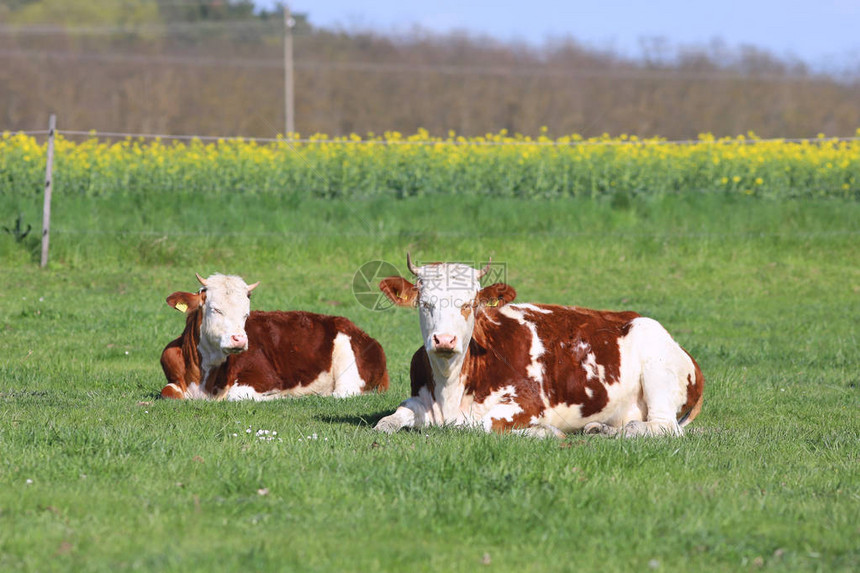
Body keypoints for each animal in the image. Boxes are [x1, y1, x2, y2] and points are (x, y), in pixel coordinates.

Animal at [160, 272, 388, 398]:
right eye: (215, 309)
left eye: (246, 313)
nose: (239, 339)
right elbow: (167, 392)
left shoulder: (266, 378)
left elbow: (236, 395)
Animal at [376, 255, 704, 438]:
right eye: (425, 303)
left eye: (469, 304)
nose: (444, 340)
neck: (450, 387)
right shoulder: (419, 398)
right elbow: (387, 421)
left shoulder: (527, 403)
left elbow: (476, 425)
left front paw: (541, 432)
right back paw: (601, 428)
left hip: (657, 371)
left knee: (664, 427)